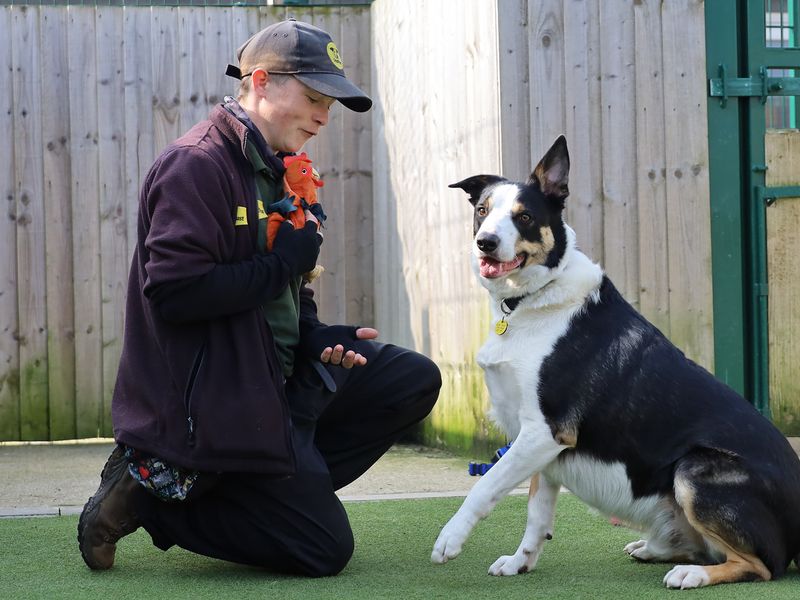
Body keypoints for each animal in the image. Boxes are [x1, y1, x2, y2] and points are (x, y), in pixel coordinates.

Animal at [434, 135, 800, 584]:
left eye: (524, 217)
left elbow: (486, 487)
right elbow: (537, 513)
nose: (484, 242)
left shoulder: (544, 431)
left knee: (761, 565)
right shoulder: (541, 446)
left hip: (692, 469)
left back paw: (691, 574)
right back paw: (657, 549)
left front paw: (450, 539)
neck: (530, 300)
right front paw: (521, 562)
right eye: (482, 211)